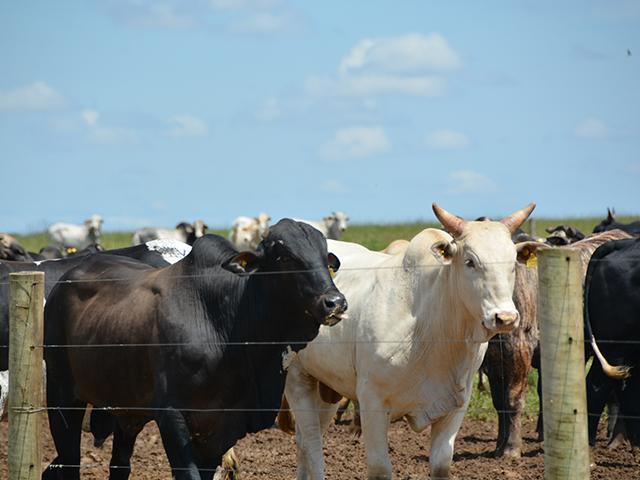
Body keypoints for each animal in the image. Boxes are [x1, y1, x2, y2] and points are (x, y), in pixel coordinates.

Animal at [42, 219, 347, 480]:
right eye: (285, 257)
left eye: (325, 258)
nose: (335, 302)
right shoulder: (172, 417)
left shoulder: (220, 429)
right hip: (62, 397)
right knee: (69, 462)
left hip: (126, 412)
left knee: (119, 465)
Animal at [279, 203, 535, 480]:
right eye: (470, 261)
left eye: (512, 264)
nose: (505, 317)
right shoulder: (372, 403)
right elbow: (380, 468)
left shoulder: (456, 406)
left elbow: (441, 464)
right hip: (297, 377)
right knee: (312, 442)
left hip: (326, 388)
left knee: (305, 440)